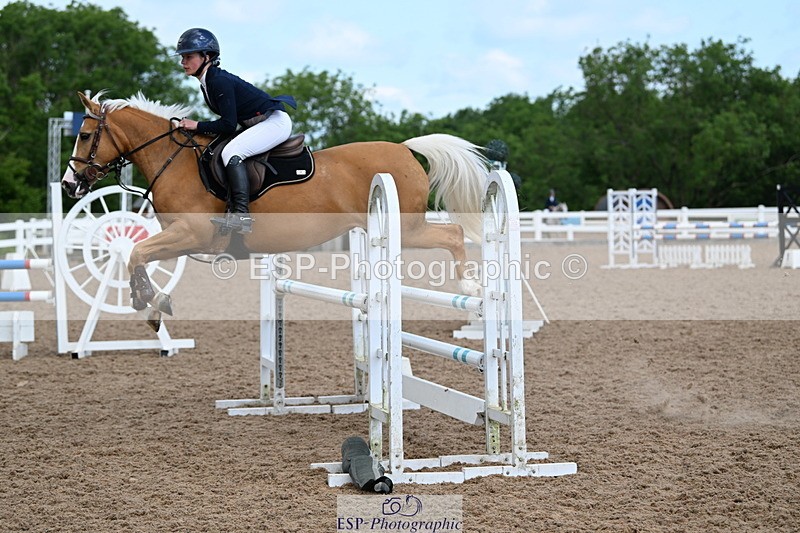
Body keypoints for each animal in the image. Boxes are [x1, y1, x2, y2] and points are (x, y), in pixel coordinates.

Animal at [61, 91, 490, 330]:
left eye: (84, 135)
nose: (68, 184)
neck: (176, 160)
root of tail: (403, 149)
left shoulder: (194, 234)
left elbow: (135, 251)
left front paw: (149, 302)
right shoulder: (186, 239)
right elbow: (139, 254)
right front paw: (153, 304)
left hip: (408, 227)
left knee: (453, 234)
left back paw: (471, 287)